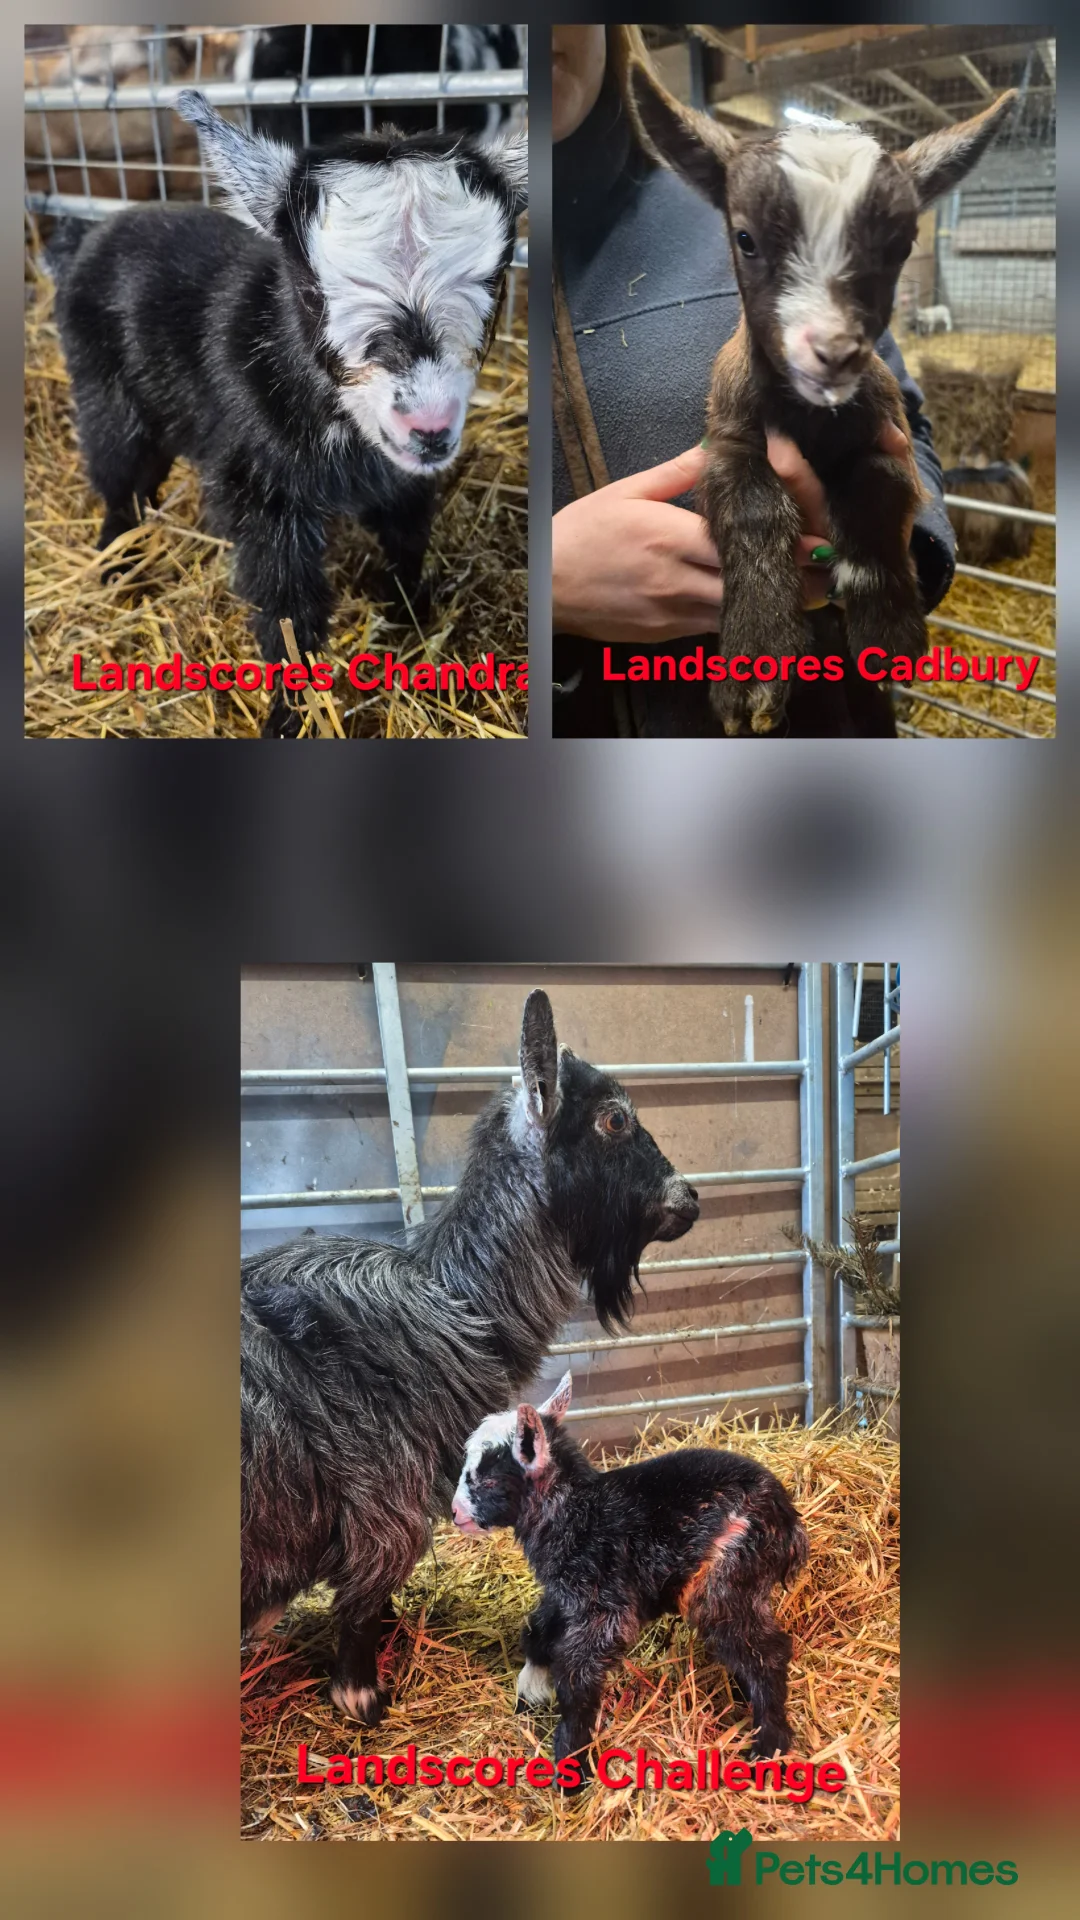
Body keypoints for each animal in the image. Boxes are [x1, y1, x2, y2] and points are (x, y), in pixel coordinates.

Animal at [48, 92, 525, 732]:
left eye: (496, 277)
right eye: (311, 293)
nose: (427, 429)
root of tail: (91, 235)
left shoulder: (399, 476)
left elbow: (407, 534)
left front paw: (409, 610)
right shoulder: (260, 494)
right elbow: (286, 605)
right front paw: (290, 714)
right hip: (102, 384)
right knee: (118, 470)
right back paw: (116, 560)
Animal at [241, 990, 699, 1724]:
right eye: (614, 1118)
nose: (690, 1198)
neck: (454, 1301)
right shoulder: (384, 1509)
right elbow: (361, 1603)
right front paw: (362, 1696)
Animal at [452, 1374, 807, 1787]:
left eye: (489, 1481)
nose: (455, 1513)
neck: (577, 1512)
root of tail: (789, 1522)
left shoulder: (605, 1604)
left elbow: (575, 1673)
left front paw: (571, 1763)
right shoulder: (566, 1594)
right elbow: (536, 1632)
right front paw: (530, 1691)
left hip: (727, 1577)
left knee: (766, 1652)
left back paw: (768, 1745)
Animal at [627, 60, 1015, 736]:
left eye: (901, 245)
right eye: (746, 239)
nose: (834, 351)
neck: (810, 418)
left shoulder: (885, 434)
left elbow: (874, 492)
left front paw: (886, 631)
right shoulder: (727, 443)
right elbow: (754, 507)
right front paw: (755, 666)